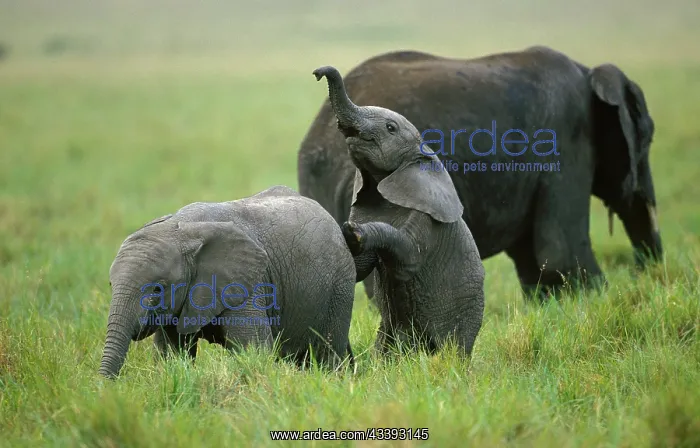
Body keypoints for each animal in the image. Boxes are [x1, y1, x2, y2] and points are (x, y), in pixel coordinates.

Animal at [99, 186, 357, 379]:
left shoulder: (247, 284)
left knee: (326, 352)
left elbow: (253, 351)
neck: (183, 230)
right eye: (110, 285)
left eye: (157, 289)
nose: (104, 389)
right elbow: (172, 353)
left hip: (340, 285)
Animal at [298, 46, 663, 301]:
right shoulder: (567, 143)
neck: (589, 74)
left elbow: (533, 261)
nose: (649, 279)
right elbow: (560, 251)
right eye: (648, 138)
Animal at [313, 66, 485, 356]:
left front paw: (353, 232)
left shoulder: (426, 215)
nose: (317, 73)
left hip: (466, 315)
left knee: (455, 348)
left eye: (390, 128)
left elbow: (408, 258)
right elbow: (360, 268)